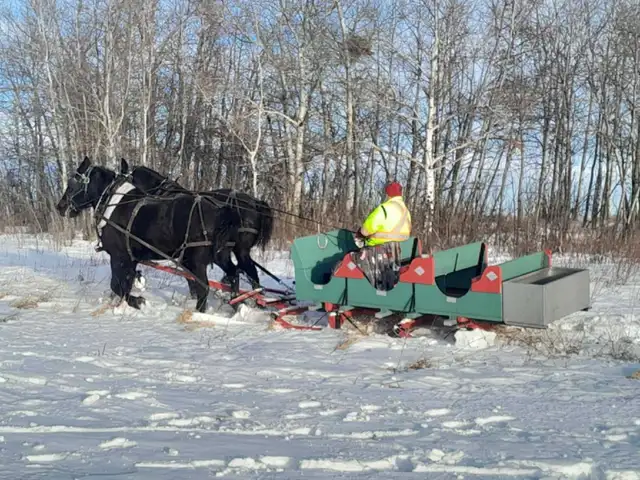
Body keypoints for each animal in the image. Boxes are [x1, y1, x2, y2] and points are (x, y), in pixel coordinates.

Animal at [56, 157, 237, 313]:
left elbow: (117, 285)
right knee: (234, 275)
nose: (60, 206)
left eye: (71, 183)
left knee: (204, 287)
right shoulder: (131, 258)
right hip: (220, 255)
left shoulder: (119, 256)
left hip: (196, 261)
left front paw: (138, 301)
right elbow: (124, 284)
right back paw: (236, 304)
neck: (113, 203)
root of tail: (219, 212)